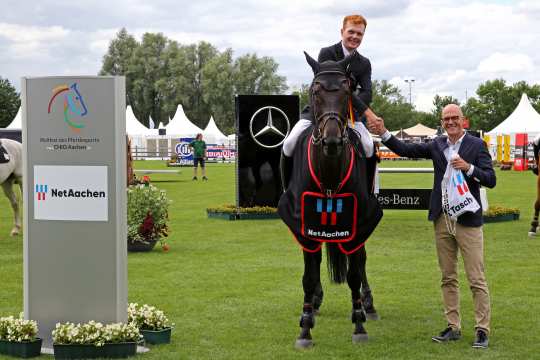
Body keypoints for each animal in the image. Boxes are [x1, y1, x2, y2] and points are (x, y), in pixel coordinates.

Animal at [280, 52, 382, 348]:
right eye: (315, 91)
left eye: (347, 90)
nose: (333, 141)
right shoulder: (304, 225)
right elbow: (309, 275)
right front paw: (305, 327)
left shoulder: (357, 223)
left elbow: (354, 274)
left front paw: (359, 323)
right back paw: (314, 301)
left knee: (361, 260)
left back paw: (369, 305)